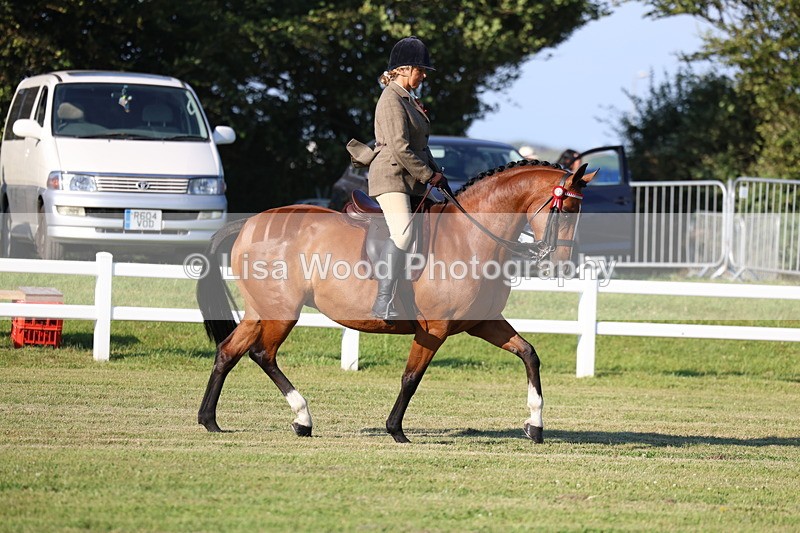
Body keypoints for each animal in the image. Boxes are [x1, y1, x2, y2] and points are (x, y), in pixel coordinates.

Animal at [196, 159, 595, 443]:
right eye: (564, 211)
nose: (563, 266)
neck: (471, 237)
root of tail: (249, 223)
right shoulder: (434, 328)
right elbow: (411, 376)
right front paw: (395, 429)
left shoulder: (484, 322)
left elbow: (529, 354)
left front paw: (535, 425)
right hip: (281, 312)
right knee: (263, 354)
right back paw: (302, 418)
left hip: (260, 310)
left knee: (229, 352)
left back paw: (210, 420)